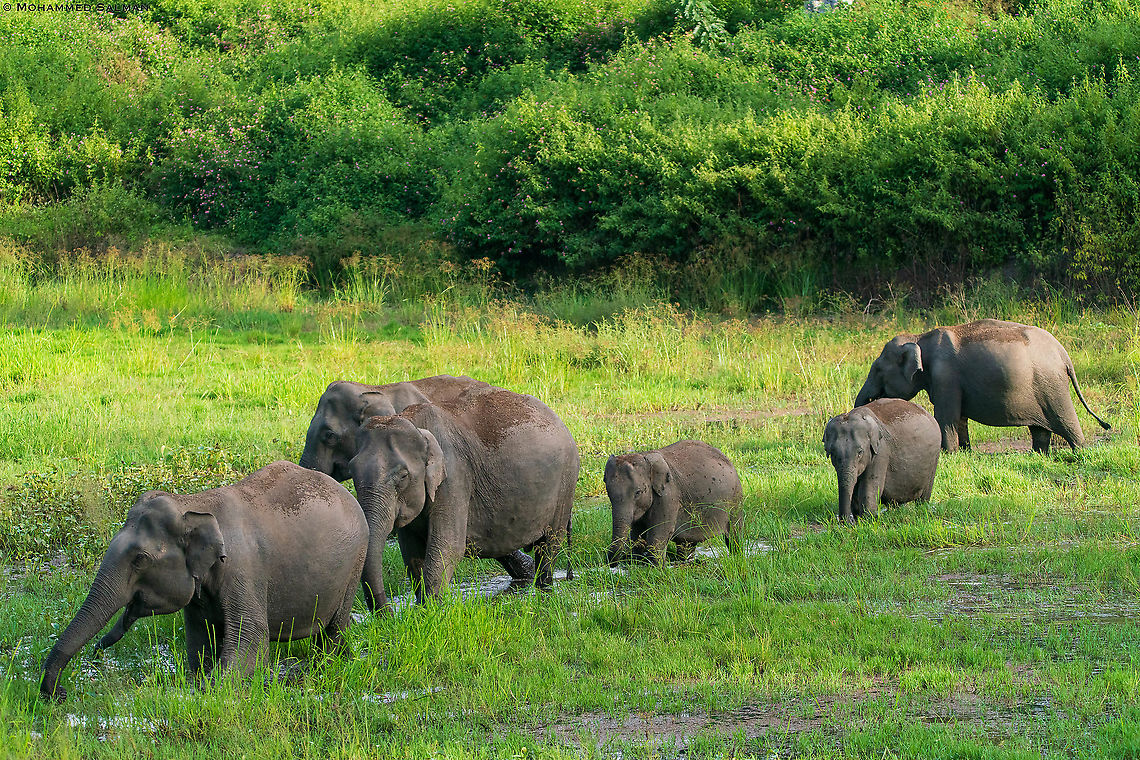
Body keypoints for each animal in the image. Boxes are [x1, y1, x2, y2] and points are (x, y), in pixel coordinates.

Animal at [40, 461, 368, 702]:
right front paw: (199, 681)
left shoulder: (242, 570)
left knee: (335, 628)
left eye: (140, 559)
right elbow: (200, 640)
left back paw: (324, 666)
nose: (61, 693)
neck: (191, 503)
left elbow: (250, 640)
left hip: (355, 563)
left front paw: (212, 688)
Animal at [348, 388, 579, 610]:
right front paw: (422, 610)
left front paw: (431, 611)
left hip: (565, 484)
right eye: (352, 471)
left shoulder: (454, 476)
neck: (414, 423)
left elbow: (447, 546)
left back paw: (544, 593)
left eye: (403, 476)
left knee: (549, 545)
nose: (387, 613)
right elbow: (411, 552)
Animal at [605, 440, 744, 566]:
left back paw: (737, 556)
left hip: (736, 499)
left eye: (638, 492)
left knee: (733, 533)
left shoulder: (668, 495)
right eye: (608, 493)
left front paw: (654, 567)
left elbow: (661, 530)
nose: (611, 564)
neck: (645, 457)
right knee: (687, 542)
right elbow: (637, 531)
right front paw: (637, 561)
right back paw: (685, 560)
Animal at [854, 319, 1110, 453]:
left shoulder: (945, 377)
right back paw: (1039, 454)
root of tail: (1063, 352)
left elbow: (946, 417)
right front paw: (965, 452)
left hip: (1051, 385)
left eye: (878, 370)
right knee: (1040, 429)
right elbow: (959, 418)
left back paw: (1080, 452)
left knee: (1066, 420)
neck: (919, 338)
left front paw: (949, 454)